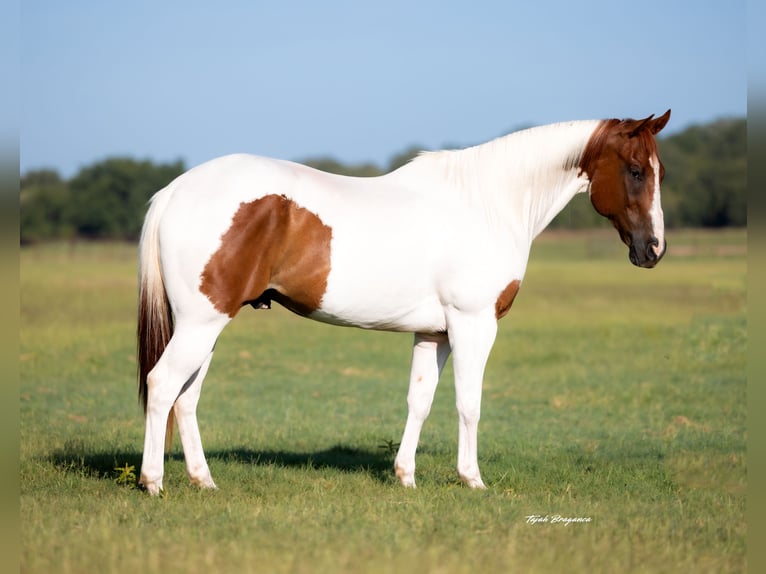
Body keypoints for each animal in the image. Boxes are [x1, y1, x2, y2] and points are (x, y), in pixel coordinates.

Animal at [136, 110, 671, 494]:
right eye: (636, 171)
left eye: (657, 171)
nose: (653, 250)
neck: (488, 204)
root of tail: (176, 190)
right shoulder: (474, 325)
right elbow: (468, 402)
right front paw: (472, 480)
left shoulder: (434, 333)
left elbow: (420, 400)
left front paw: (406, 477)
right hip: (201, 323)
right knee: (162, 386)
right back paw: (153, 482)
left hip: (206, 325)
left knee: (186, 398)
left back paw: (204, 481)